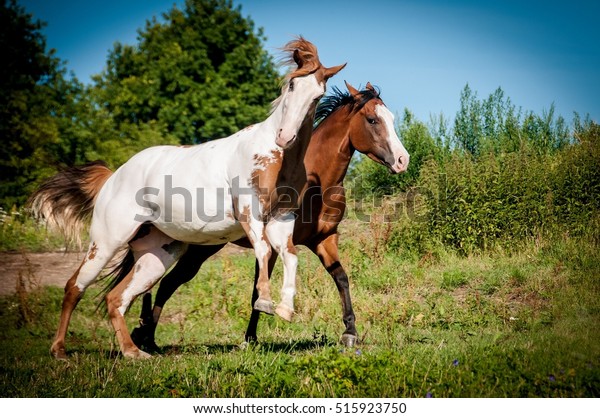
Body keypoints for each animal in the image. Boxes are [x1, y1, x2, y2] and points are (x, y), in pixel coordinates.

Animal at [29, 37, 346, 360]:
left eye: (318, 94)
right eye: (292, 85)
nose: (284, 137)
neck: (277, 157)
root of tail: (114, 175)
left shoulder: (282, 220)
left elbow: (290, 256)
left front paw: (284, 308)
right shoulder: (250, 214)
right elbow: (265, 251)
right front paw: (266, 303)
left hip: (156, 255)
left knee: (117, 298)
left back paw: (134, 353)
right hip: (106, 243)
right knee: (74, 287)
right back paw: (60, 350)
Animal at [130, 81, 412, 350]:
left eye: (391, 118)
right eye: (372, 120)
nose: (402, 160)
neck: (317, 185)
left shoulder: (324, 239)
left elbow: (341, 278)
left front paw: (350, 333)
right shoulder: (274, 244)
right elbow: (258, 290)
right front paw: (250, 339)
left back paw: (144, 335)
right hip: (199, 249)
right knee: (168, 283)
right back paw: (146, 337)